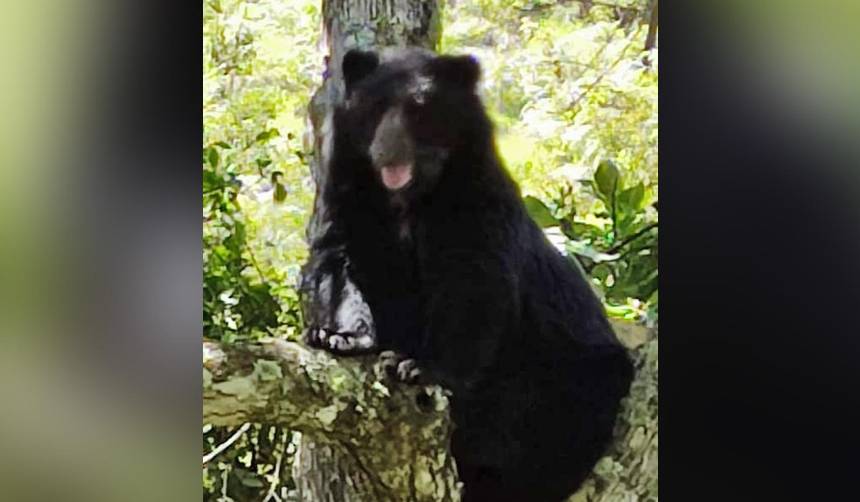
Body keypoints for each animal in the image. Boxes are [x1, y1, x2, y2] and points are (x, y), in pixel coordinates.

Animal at [305, 47, 634, 502]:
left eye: (419, 108)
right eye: (374, 108)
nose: (388, 154)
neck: (406, 197)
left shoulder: (473, 196)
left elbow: (471, 283)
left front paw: (418, 366)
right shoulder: (349, 189)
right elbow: (341, 260)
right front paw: (338, 336)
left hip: (569, 380)